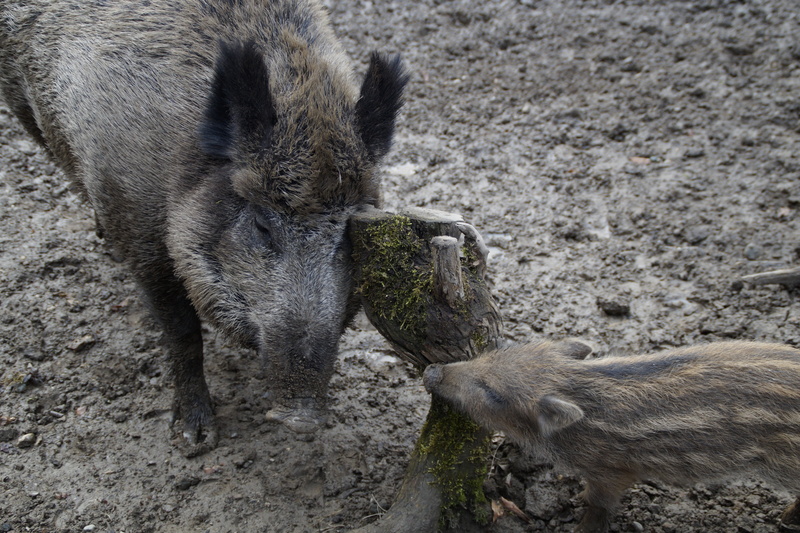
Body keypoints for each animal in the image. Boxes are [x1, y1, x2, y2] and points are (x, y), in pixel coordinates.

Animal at [0, 0, 408, 451]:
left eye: (349, 228)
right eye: (262, 225)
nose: (303, 418)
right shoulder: (138, 229)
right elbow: (182, 332)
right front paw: (194, 438)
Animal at [423, 340, 800, 532]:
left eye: (493, 394)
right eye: (495, 351)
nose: (431, 371)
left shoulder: (614, 472)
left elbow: (599, 503)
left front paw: (581, 526)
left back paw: (785, 520)